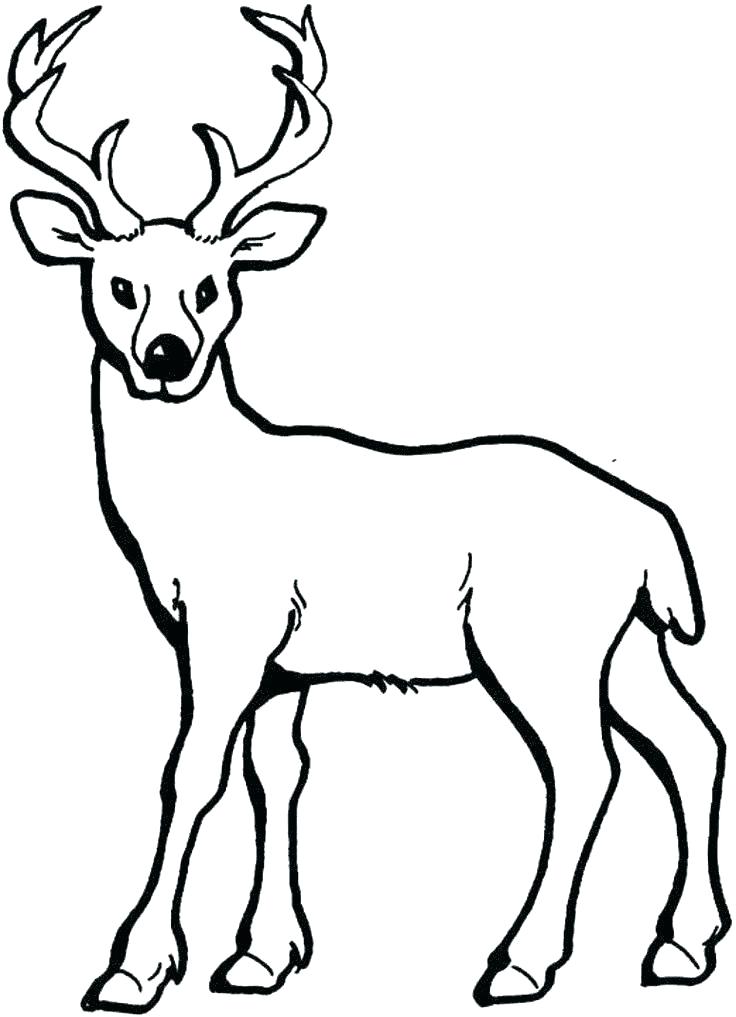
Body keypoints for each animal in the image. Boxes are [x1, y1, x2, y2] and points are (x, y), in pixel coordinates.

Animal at [5, 4, 729, 1013]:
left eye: (212, 285)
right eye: (117, 283)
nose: (166, 354)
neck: (199, 496)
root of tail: (653, 531)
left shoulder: (230, 620)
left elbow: (191, 770)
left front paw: (133, 965)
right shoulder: (285, 659)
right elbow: (278, 772)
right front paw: (262, 955)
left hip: (536, 635)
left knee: (588, 765)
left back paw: (518, 960)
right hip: (624, 640)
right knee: (691, 740)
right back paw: (680, 945)